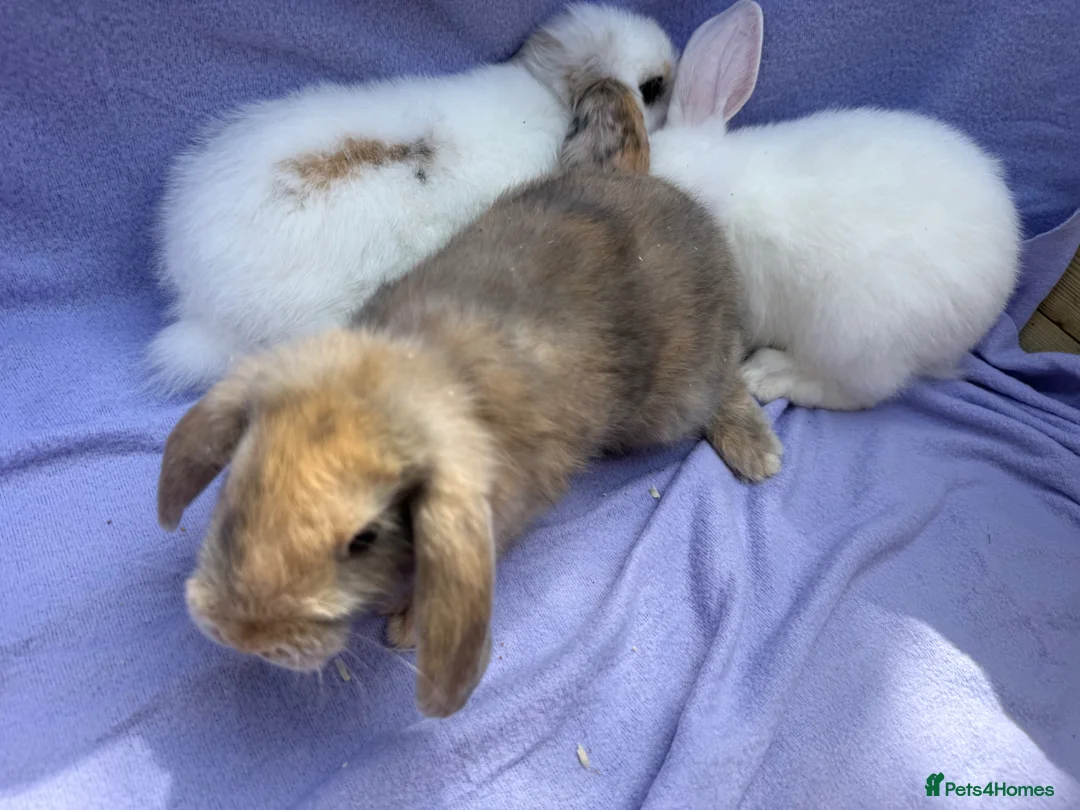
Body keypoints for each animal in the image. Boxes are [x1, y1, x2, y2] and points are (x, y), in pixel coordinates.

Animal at [156, 164, 783, 719]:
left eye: (364, 539)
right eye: (240, 479)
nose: (237, 633)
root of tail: (698, 216)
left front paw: (405, 628)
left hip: (679, 396)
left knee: (726, 381)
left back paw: (758, 453)